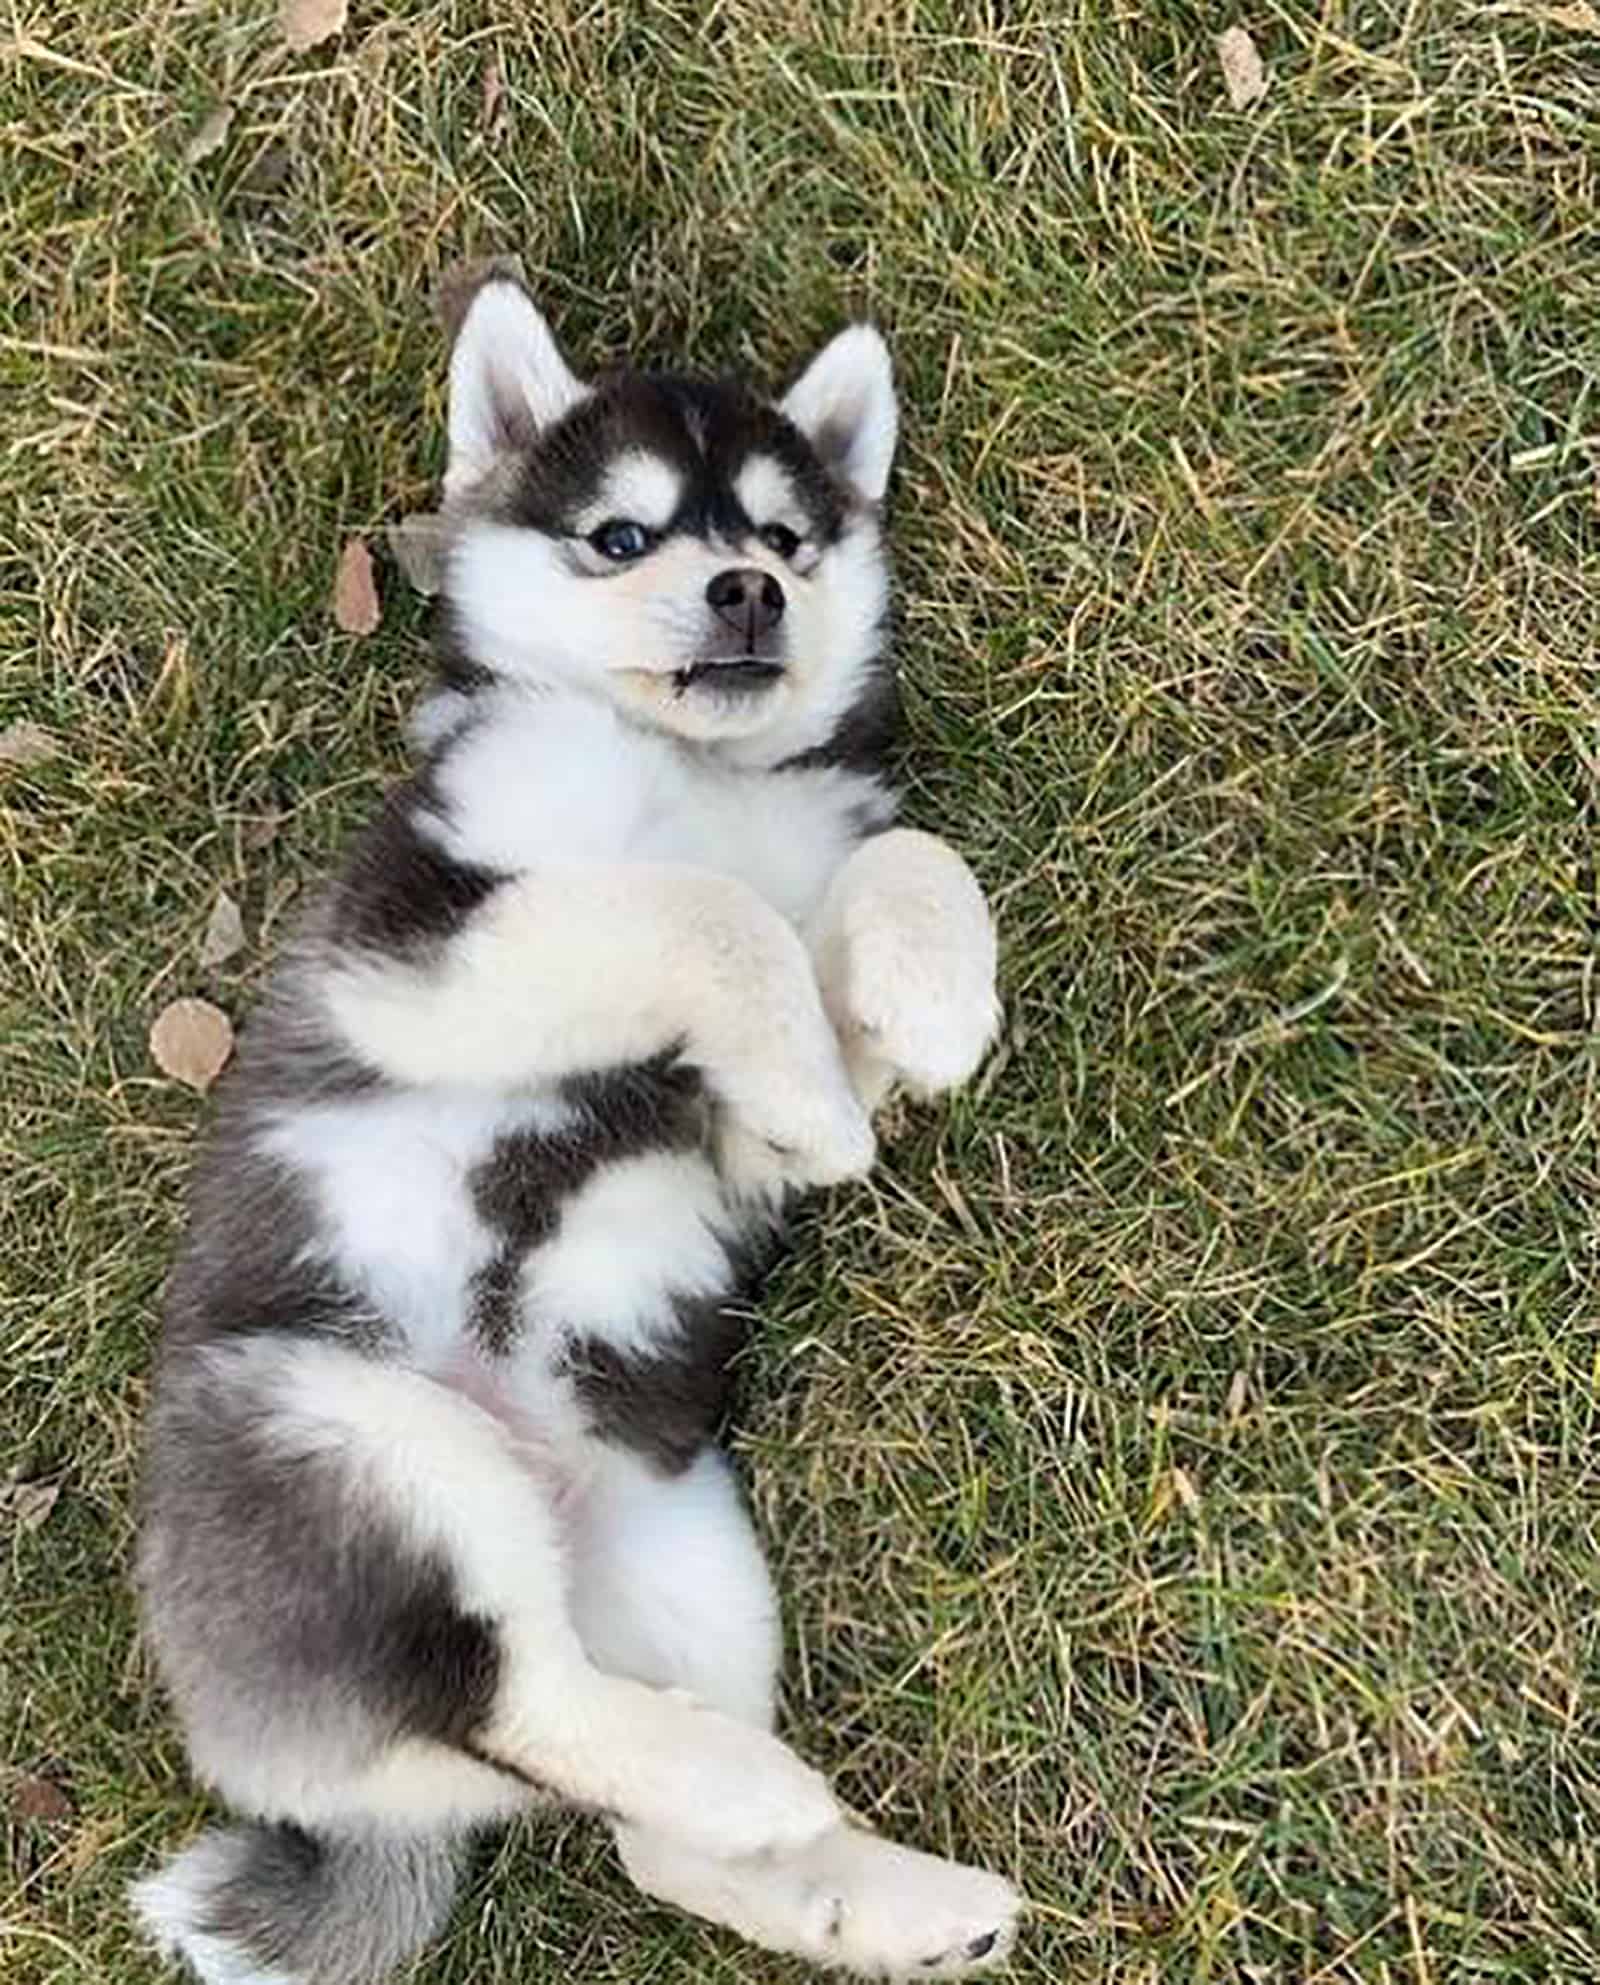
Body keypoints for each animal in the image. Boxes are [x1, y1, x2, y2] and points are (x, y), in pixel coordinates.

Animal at [132, 279, 1024, 1985]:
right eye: (623, 537)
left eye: (789, 536)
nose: (749, 589)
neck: (689, 771)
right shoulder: (425, 953)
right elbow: (699, 911)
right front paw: (827, 1074)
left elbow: (893, 872)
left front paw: (935, 1000)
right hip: (353, 1441)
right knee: (518, 1707)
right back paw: (749, 1784)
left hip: (681, 1552)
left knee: (645, 1839)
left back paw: (880, 1894)